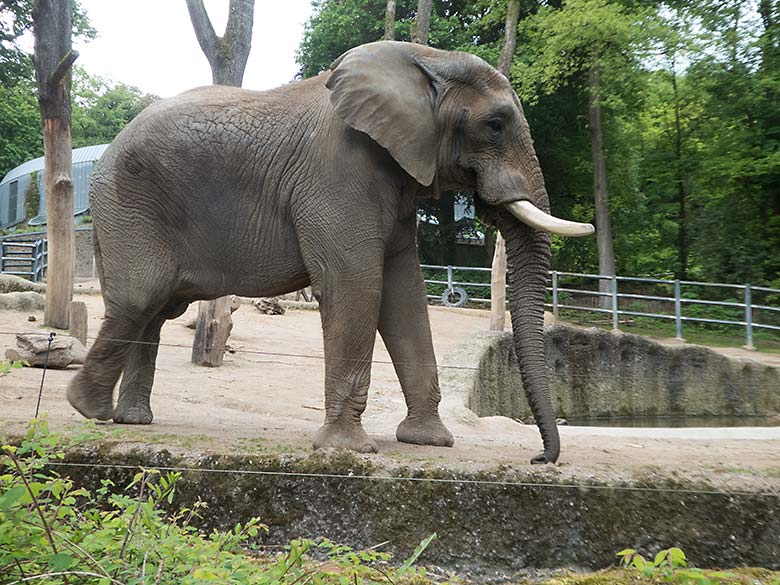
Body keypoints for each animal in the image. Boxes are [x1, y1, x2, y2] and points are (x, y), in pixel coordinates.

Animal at [68, 41, 592, 464]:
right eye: (495, 125)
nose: (540, 459)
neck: (423, 60)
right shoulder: (338, 175)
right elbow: (357, 286)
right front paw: (350, 450)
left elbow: (404, 295)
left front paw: (429, 442)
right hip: (128, 204)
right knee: (141, 297)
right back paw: (87, 408)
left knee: (154, 310)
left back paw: (130, 420)